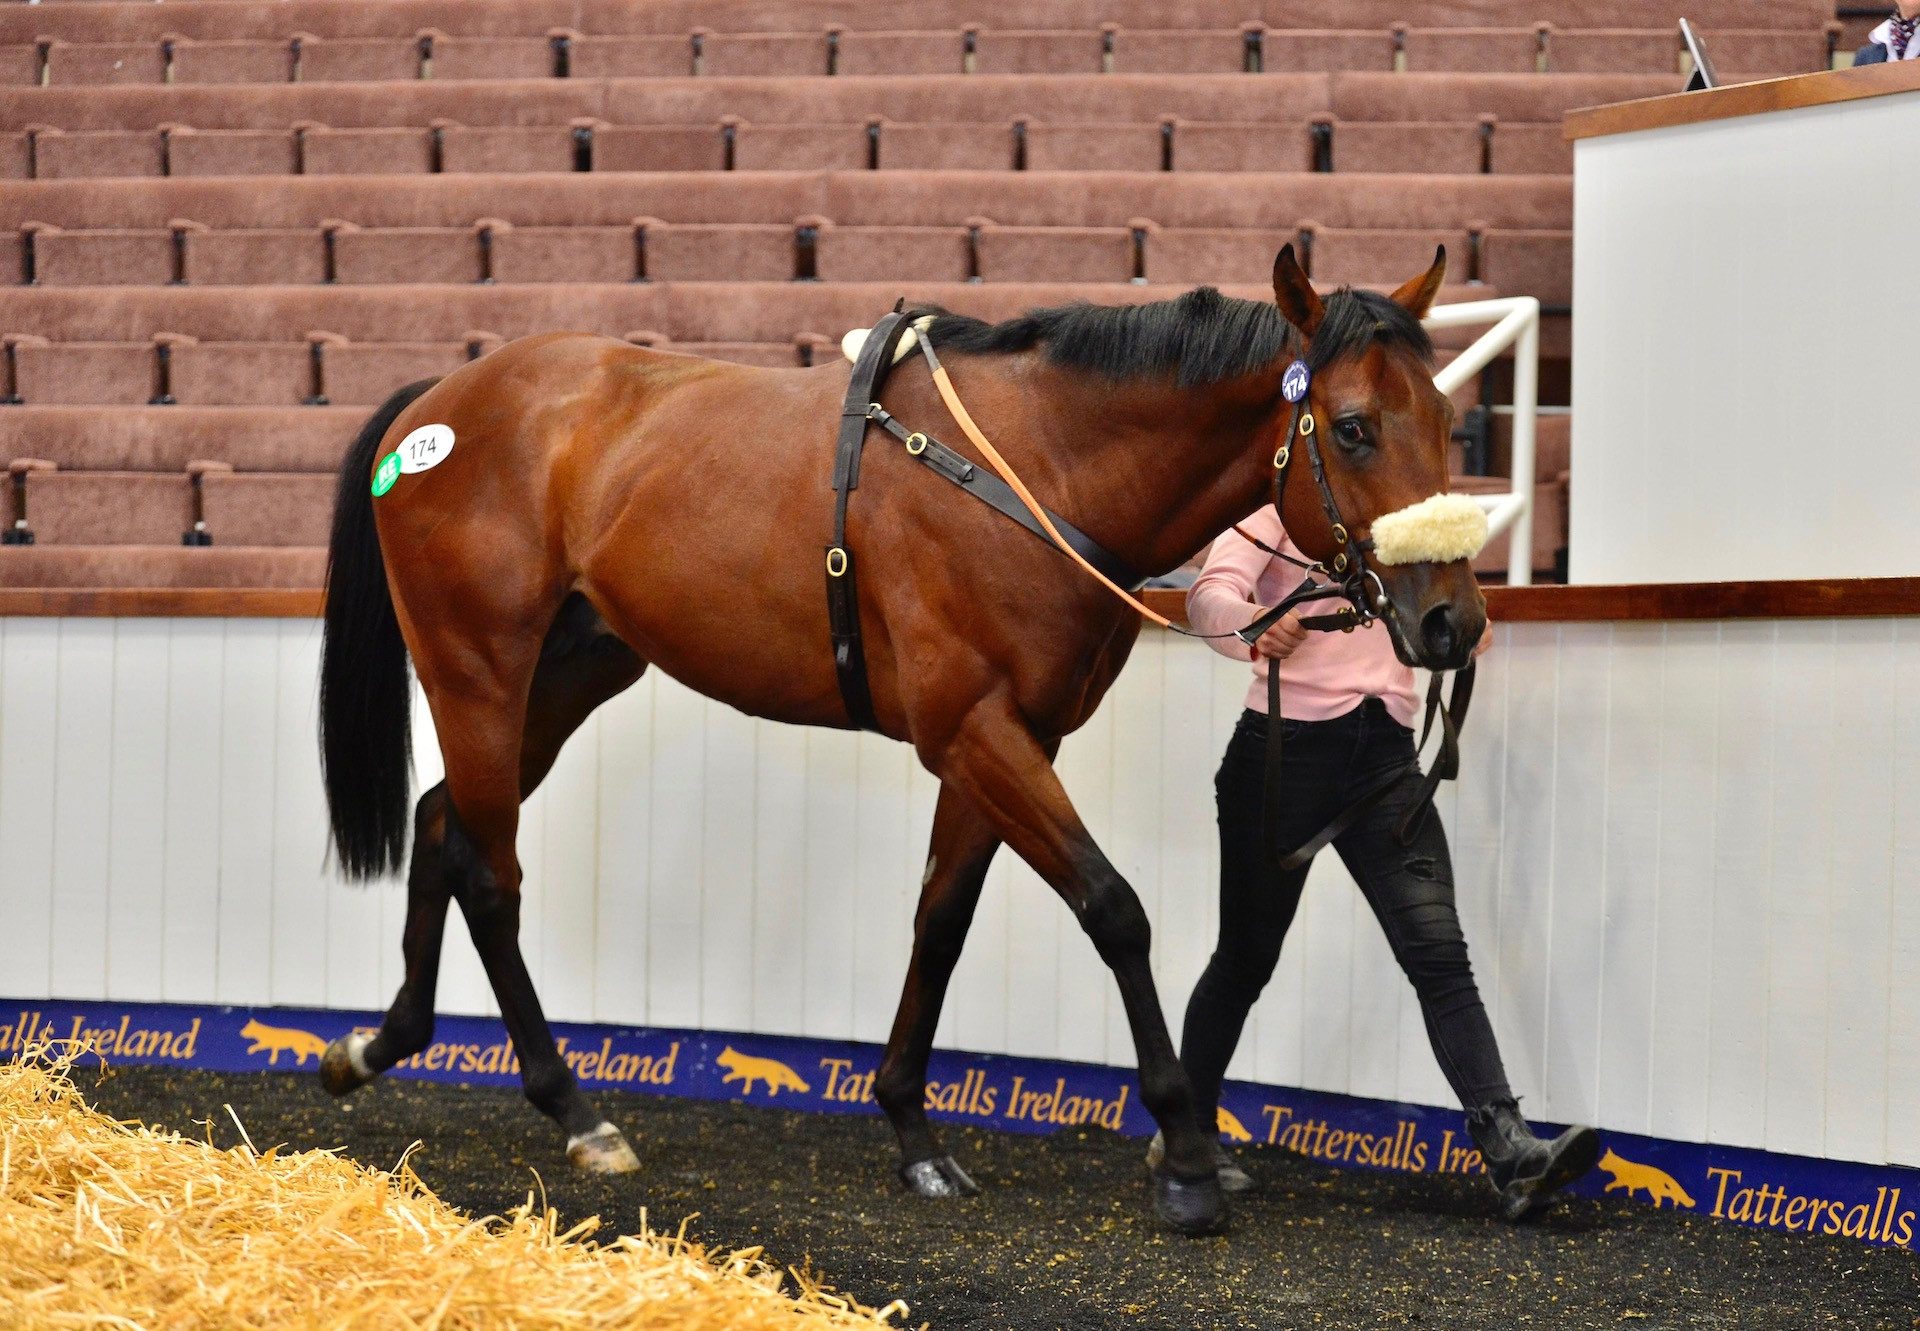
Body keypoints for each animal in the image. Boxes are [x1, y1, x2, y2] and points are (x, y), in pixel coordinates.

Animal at [314, 243, 1482, 1229]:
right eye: (1354, 425)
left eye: (1447, 421)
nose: (1452, 622)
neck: (1032, 467)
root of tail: (436, 406)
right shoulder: (975, 732)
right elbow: (1114, 910)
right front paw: (1188, 1159)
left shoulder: (1005, 741)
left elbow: (941, 921)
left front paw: (913, 1125)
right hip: (477, 671)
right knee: (491, 872)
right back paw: (574, 1106)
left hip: (571, 673)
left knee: (443, 824)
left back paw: (380, 1044)